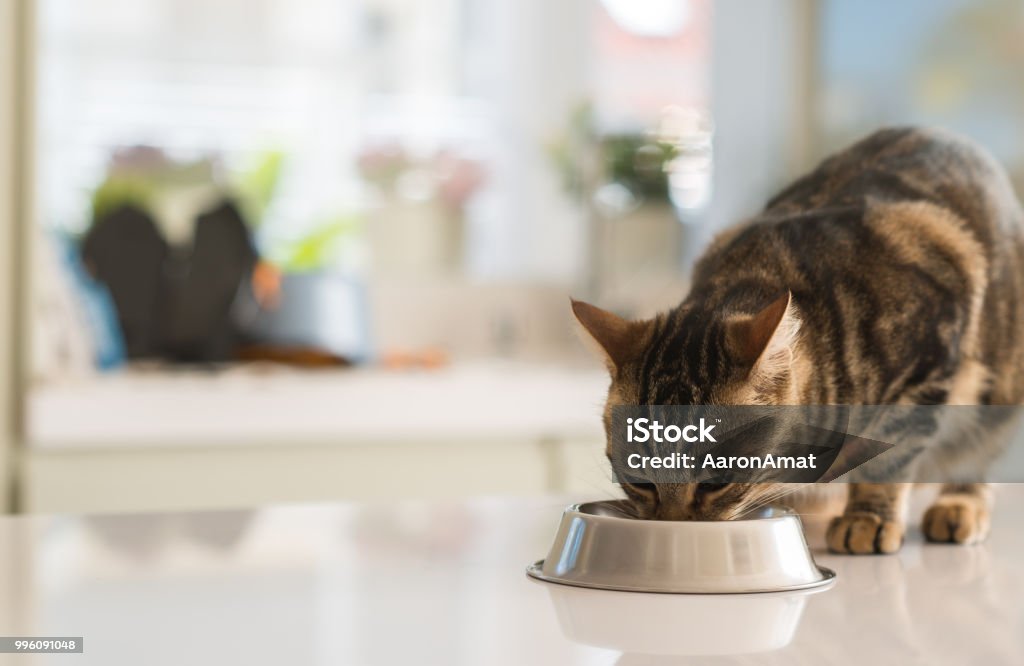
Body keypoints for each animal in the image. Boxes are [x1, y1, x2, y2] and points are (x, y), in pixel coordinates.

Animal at [573, 127, 1024, 553]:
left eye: (714, 483)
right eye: (639, 480)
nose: (672, 529)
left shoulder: (925, 366)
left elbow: (890, 460)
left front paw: (868, 518)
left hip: (996, 394)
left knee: (973, 456)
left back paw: (959, 505)